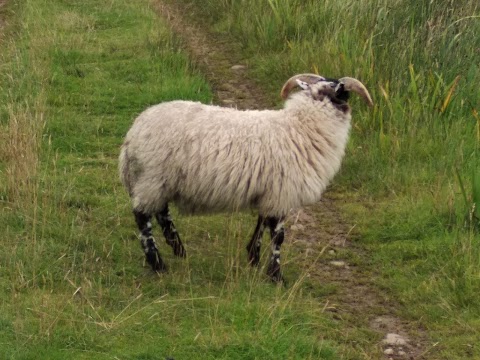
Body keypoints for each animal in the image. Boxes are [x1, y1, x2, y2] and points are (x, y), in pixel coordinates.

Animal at [118, 73, 374, 282]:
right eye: (340, 89)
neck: (301, 125)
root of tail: (132, 135)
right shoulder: (281, 192)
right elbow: (278, 237)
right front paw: (276, 276)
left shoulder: (269, 190)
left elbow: (262, 223)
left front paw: (253, 256)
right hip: (152, 178)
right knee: (143, 219)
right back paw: (158, 264)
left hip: (160, 182)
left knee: (162, 215)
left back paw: (179, 250)